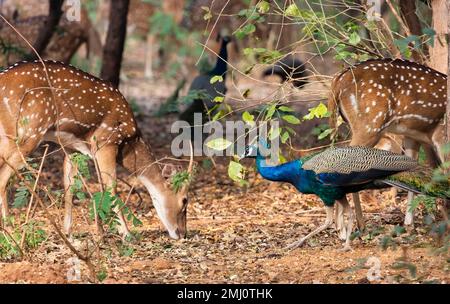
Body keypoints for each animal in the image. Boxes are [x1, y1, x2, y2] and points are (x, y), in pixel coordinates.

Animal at [0, 60, 192, 240]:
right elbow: (110, 187)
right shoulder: (106, 141)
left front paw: (76, 233)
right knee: (3, 178)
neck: (128, 144)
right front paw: (126, 234)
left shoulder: (73, 148)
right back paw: (10, 230)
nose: (182, 233)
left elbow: (72, 186)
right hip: (29, 130)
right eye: (184, 200)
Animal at [328, 58, 448, 229]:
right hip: (370, 124)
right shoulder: (440, 134)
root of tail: (338, 80)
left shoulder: (414, 135)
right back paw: (355, 224)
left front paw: (410, 223)